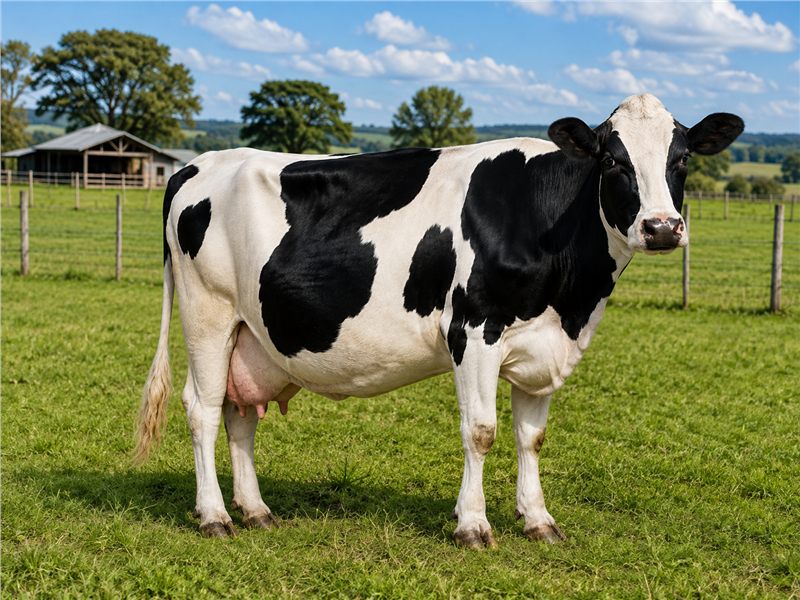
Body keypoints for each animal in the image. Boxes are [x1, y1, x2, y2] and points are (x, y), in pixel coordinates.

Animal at [135, 94, 743, 548]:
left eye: (682, 160)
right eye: (613, 160)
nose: (662, 227)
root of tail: (197, 164)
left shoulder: (545, 345)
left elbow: (532, 437)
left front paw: (538, 519)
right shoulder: (474, 330)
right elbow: (481, 431)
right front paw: (472, 525)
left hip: (253, 335)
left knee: (241, 414)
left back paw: (256, 509)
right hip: (208, 313)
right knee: (203, 409)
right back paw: (215, 516)